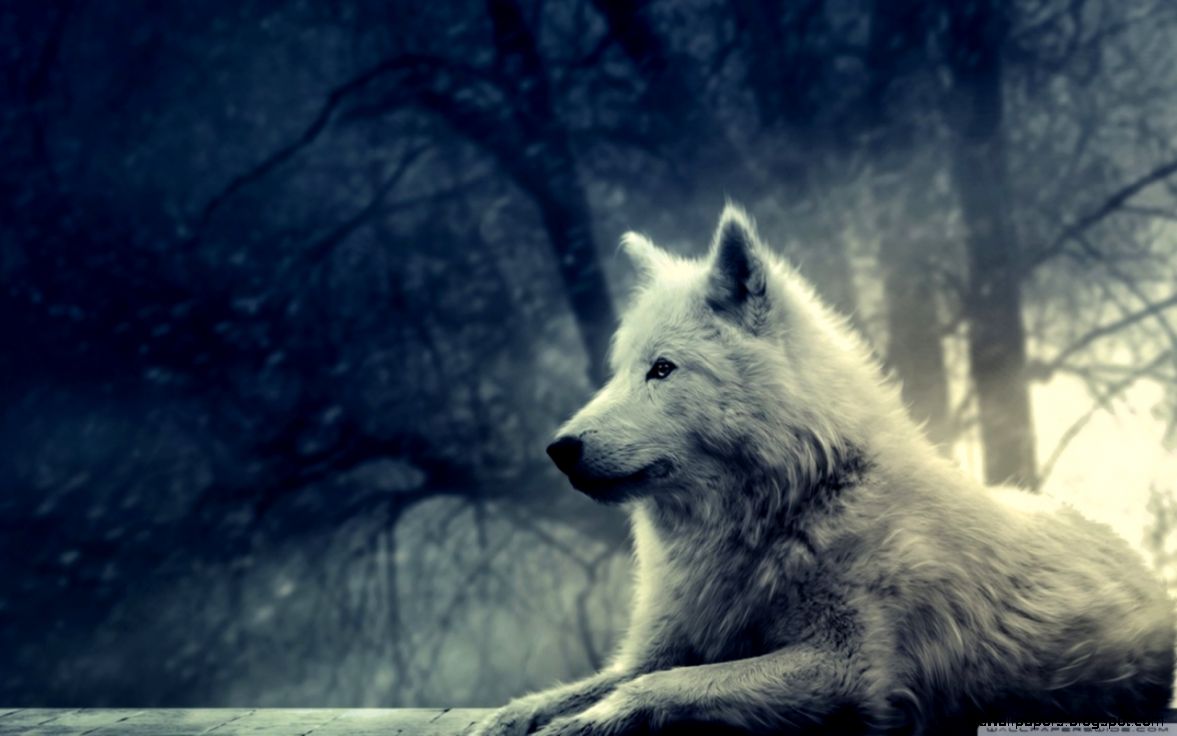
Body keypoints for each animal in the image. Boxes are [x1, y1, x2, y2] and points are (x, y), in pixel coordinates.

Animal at [473, 205, 1175, 735]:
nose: (559, 448)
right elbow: (584, 686)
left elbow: (664, 686)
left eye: (663, 369)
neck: (795, 503)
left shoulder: (845, 668)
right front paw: (509, 717)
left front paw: (586, 722)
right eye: (619, 370)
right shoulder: (657, 646)